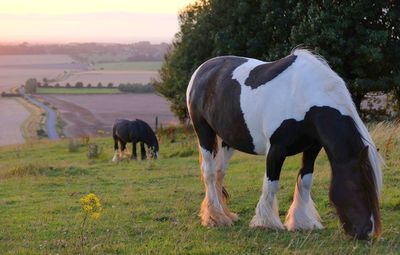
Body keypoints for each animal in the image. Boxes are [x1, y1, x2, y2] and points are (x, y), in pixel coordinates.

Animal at [188, 48, 384, 240]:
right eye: (357, 188)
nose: (367, 232)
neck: (304, 96)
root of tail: (202, 70)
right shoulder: (276, 150)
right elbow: (271, 183)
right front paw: (265, 222)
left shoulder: (312, 148)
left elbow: (305, 181)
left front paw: (302, 222)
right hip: (204, 132)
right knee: (209, 172)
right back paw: (216, 217)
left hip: (228, 140)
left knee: (219, 172)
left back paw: (225, 214)